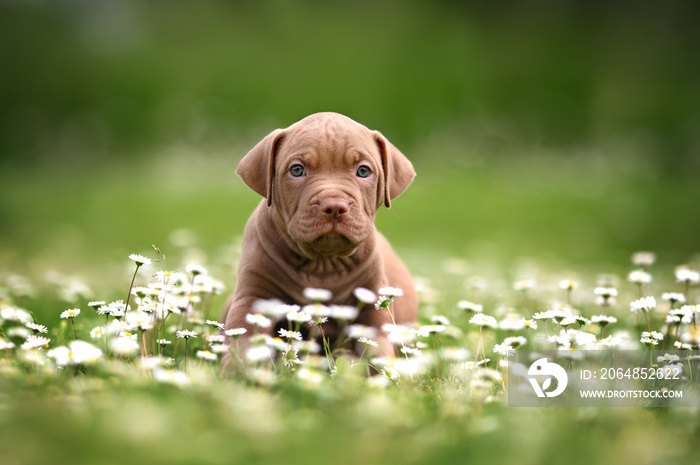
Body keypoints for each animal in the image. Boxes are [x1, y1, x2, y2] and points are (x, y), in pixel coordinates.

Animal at [221, 111, 416, 362]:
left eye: (363, 171)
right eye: (297, 170)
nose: (334, 206)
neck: (322, 264)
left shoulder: (372, 304)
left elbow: (378, 352)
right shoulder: (253, 298)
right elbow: (243, 343)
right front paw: (238, 370)